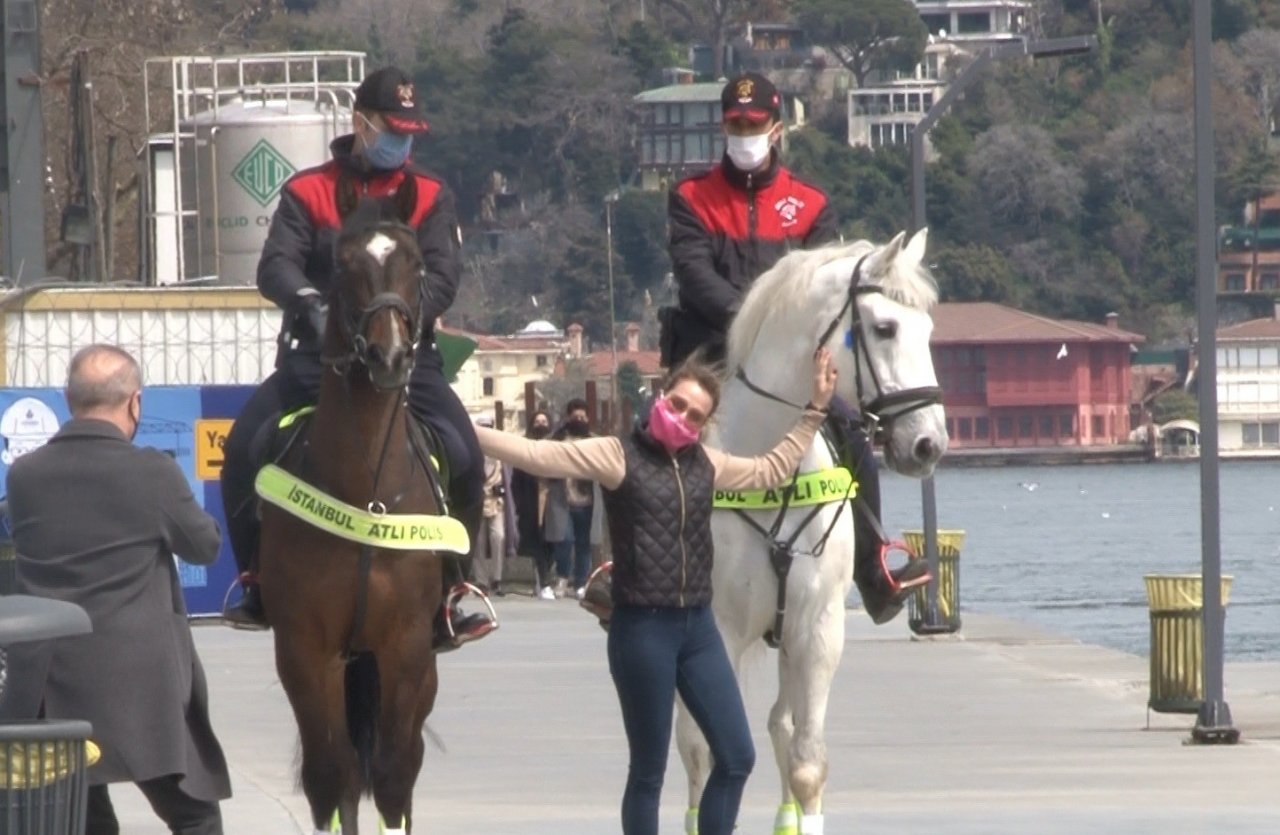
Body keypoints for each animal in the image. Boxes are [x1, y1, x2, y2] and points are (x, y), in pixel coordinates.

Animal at [254, 172, 445, 829]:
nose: (390, 356)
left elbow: (392, 777)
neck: (364, 494)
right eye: (343, 265)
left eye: (416, 263)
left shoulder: (406, 647)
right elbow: (329, 777)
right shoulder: (305, 649)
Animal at [675, 227, 947, 835]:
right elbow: (706, 751)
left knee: (780, 724)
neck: (766, 468)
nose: (929, 444)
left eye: (929, 330)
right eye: (885, 328)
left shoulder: (817, 629)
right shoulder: (719, 631)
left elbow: (806, 761)